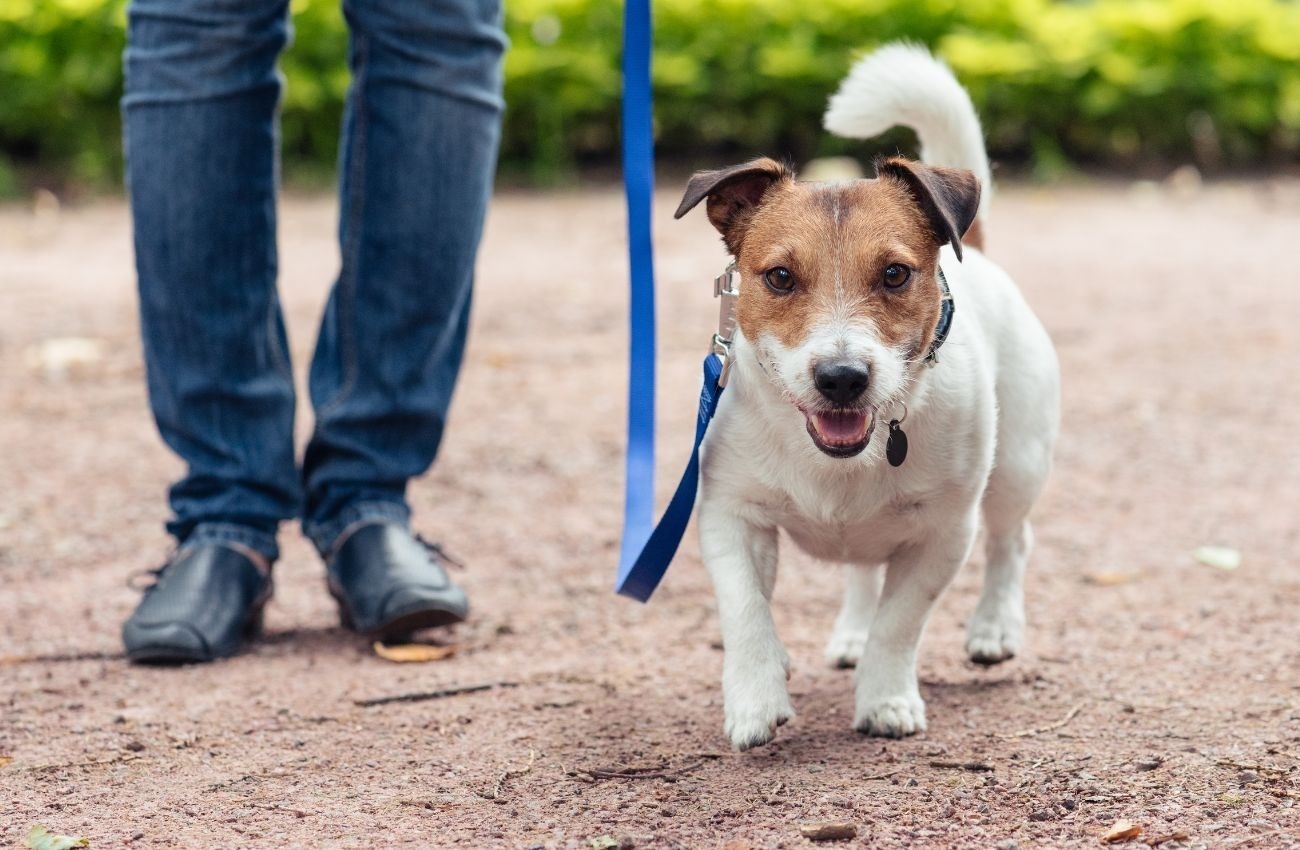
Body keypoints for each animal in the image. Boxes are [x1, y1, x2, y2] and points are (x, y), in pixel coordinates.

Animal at [676, 43, 1060, 748]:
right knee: (862, 572)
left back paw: (994, 628)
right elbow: (746, 612)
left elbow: (900, 623)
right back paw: (851, 633)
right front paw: (755, 698)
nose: (842, 378)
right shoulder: (731, 516)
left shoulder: (943, 533)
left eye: (895, 273)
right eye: (779, 276)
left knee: (1011, 542)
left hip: (1018, 466)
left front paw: (886, 699)